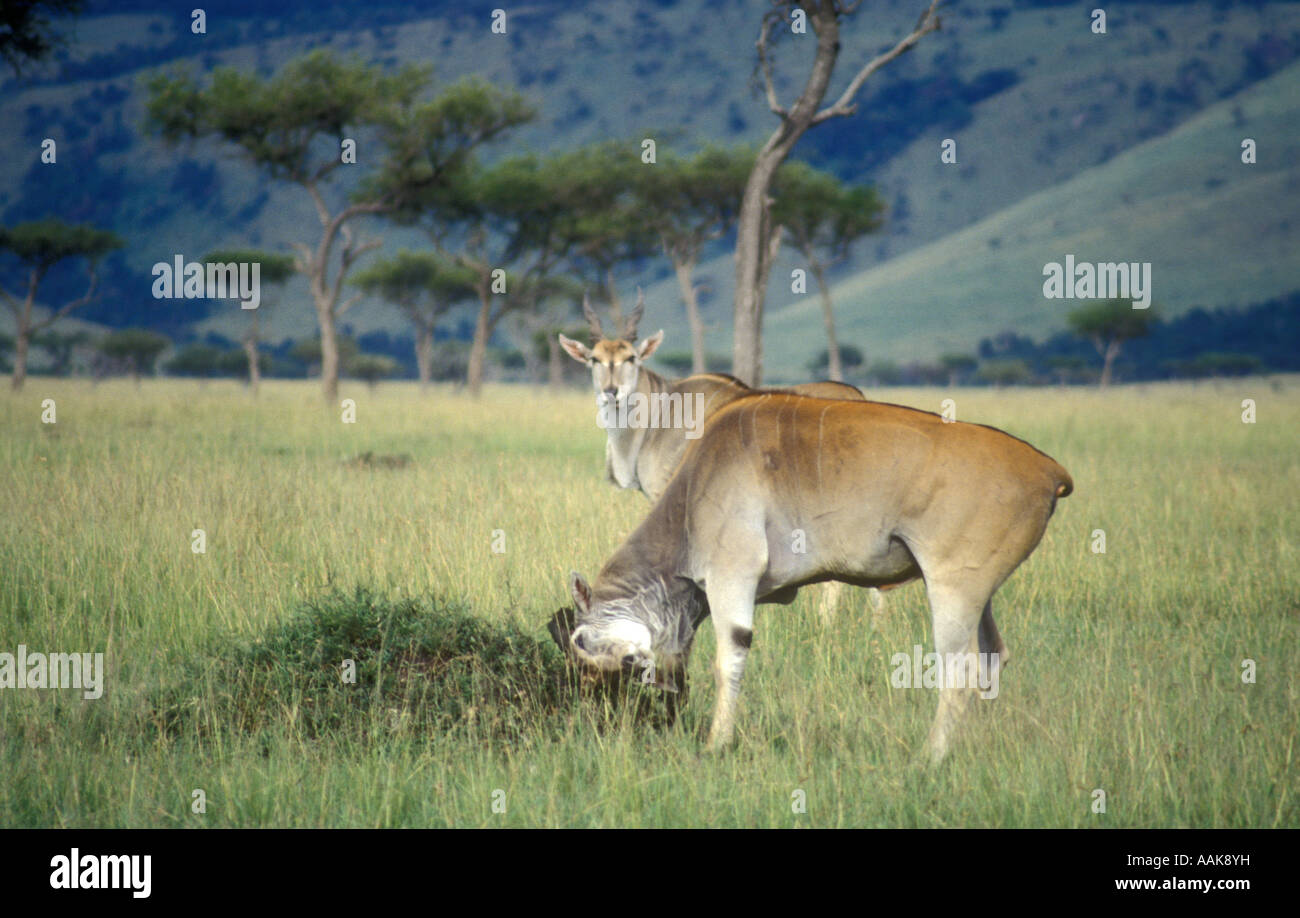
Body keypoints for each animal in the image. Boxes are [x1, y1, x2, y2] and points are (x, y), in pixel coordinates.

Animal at [556, 391, 1073, 762]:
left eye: (583, 641)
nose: (631, 669)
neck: (696, 486)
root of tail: (1048, 469)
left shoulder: (731, 577)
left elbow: (729, 661)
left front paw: (716, 744)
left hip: (952, 588)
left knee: (960, 669)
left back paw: (931, 756)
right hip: (977, 596)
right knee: (992, 657)